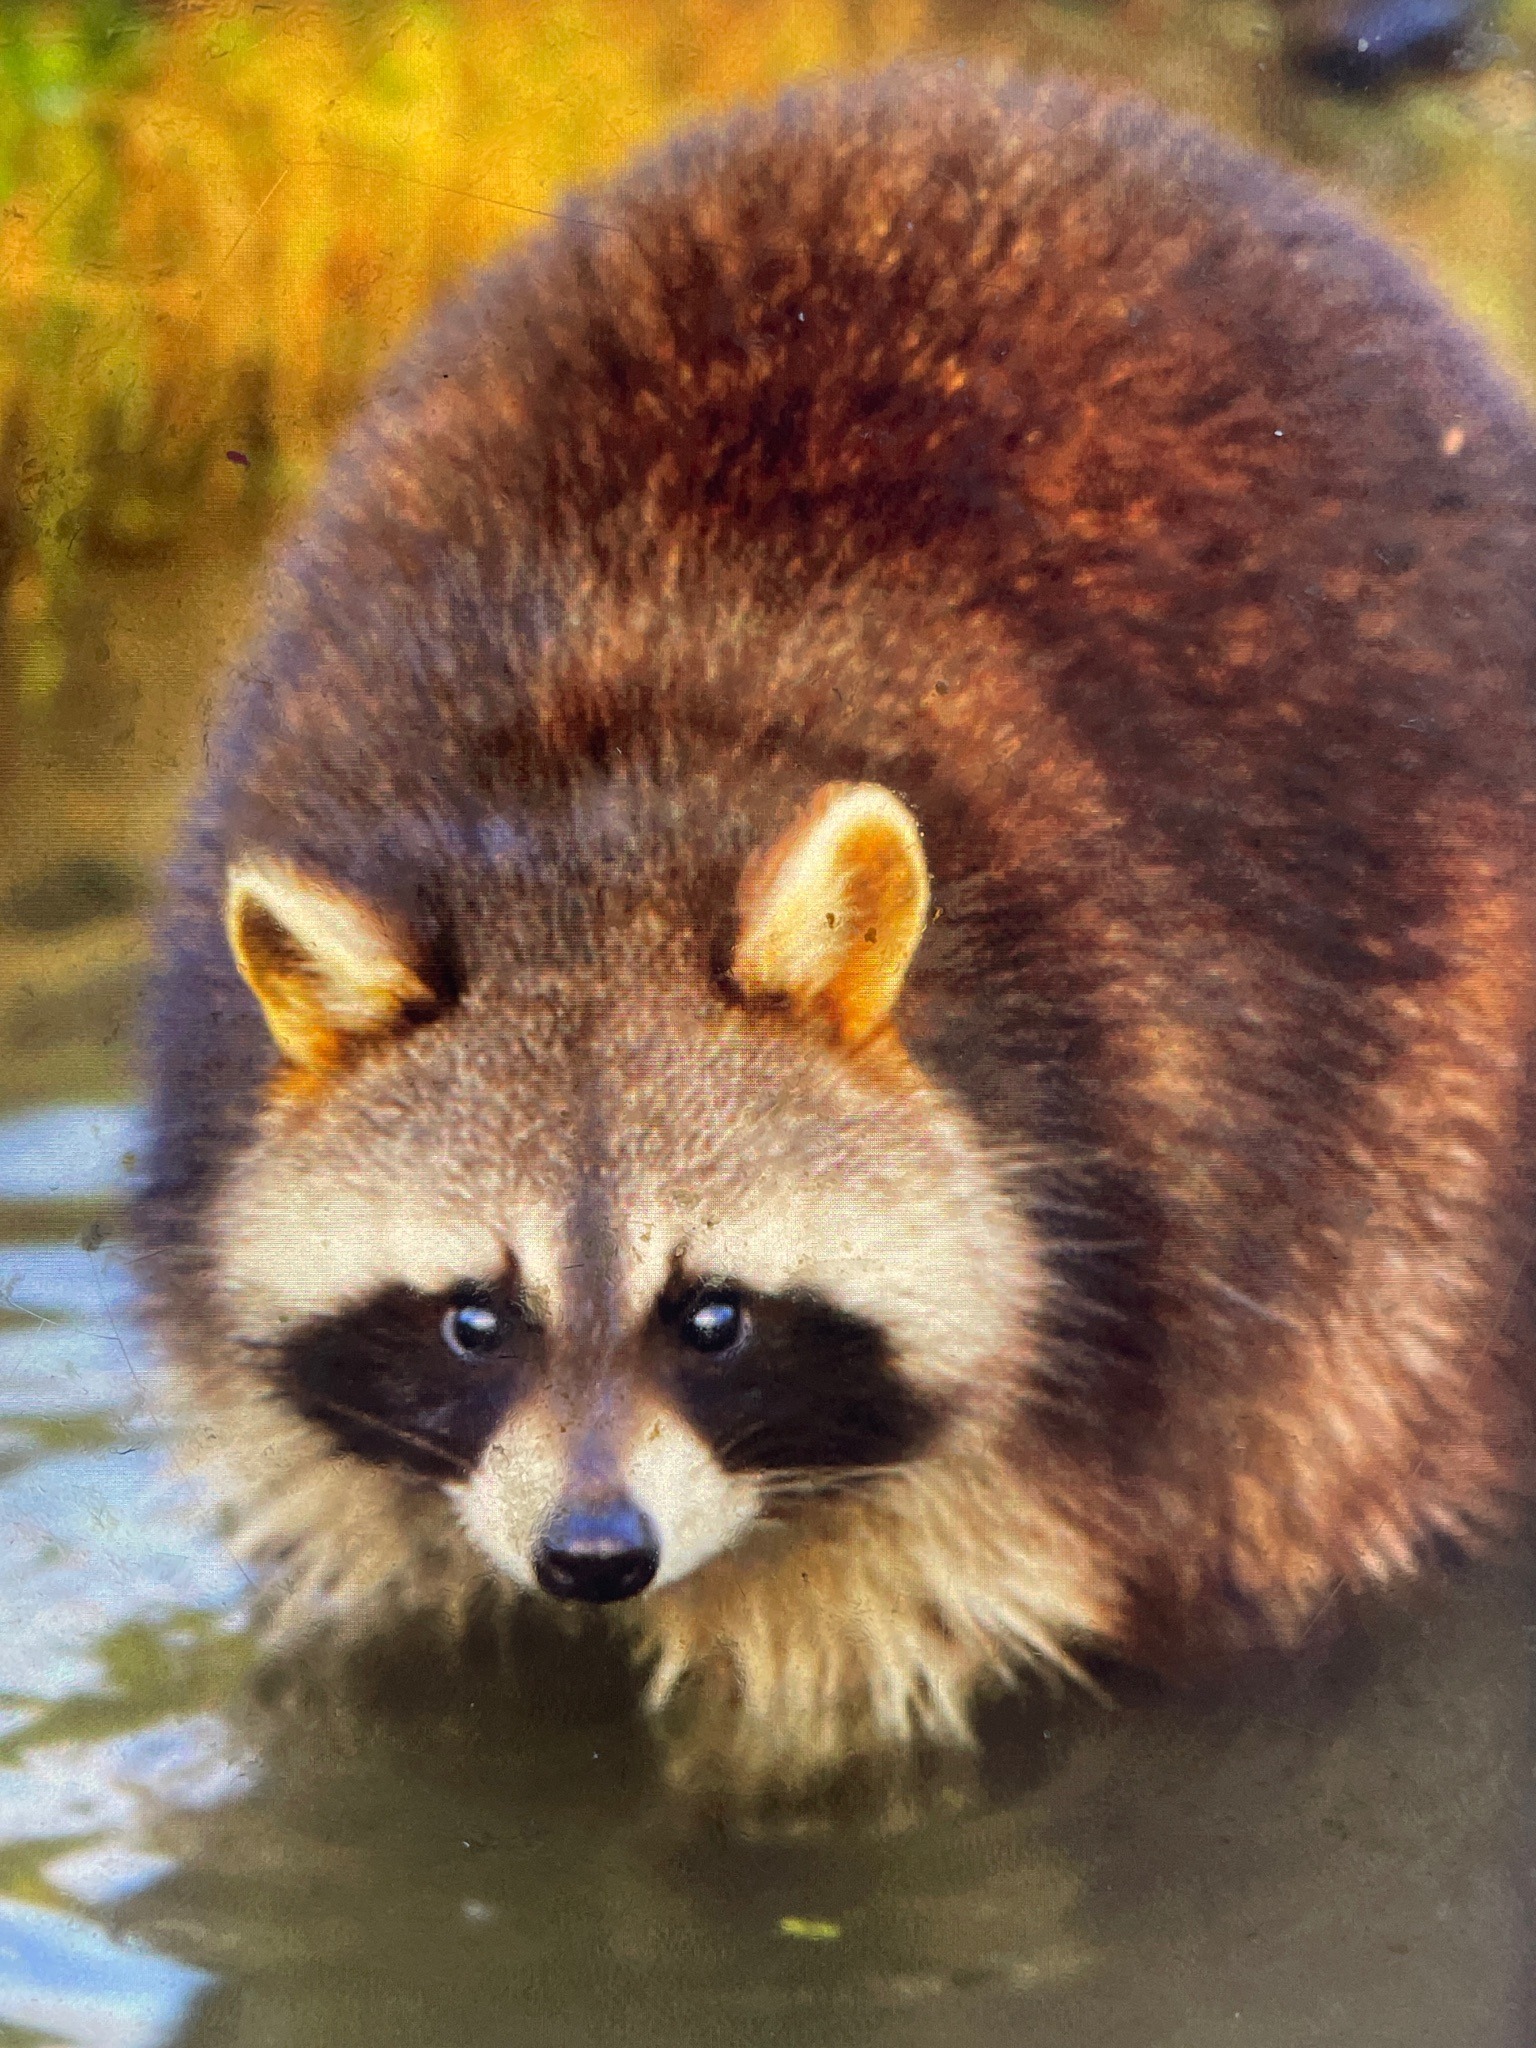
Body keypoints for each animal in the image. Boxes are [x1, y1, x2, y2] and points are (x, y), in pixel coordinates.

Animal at [137, 66, 1536, 1787]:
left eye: (714, 1317)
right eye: (473, 1319)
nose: (590, 1556)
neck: (584, 807)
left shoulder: (1054, 1355)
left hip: (1427, 1162)